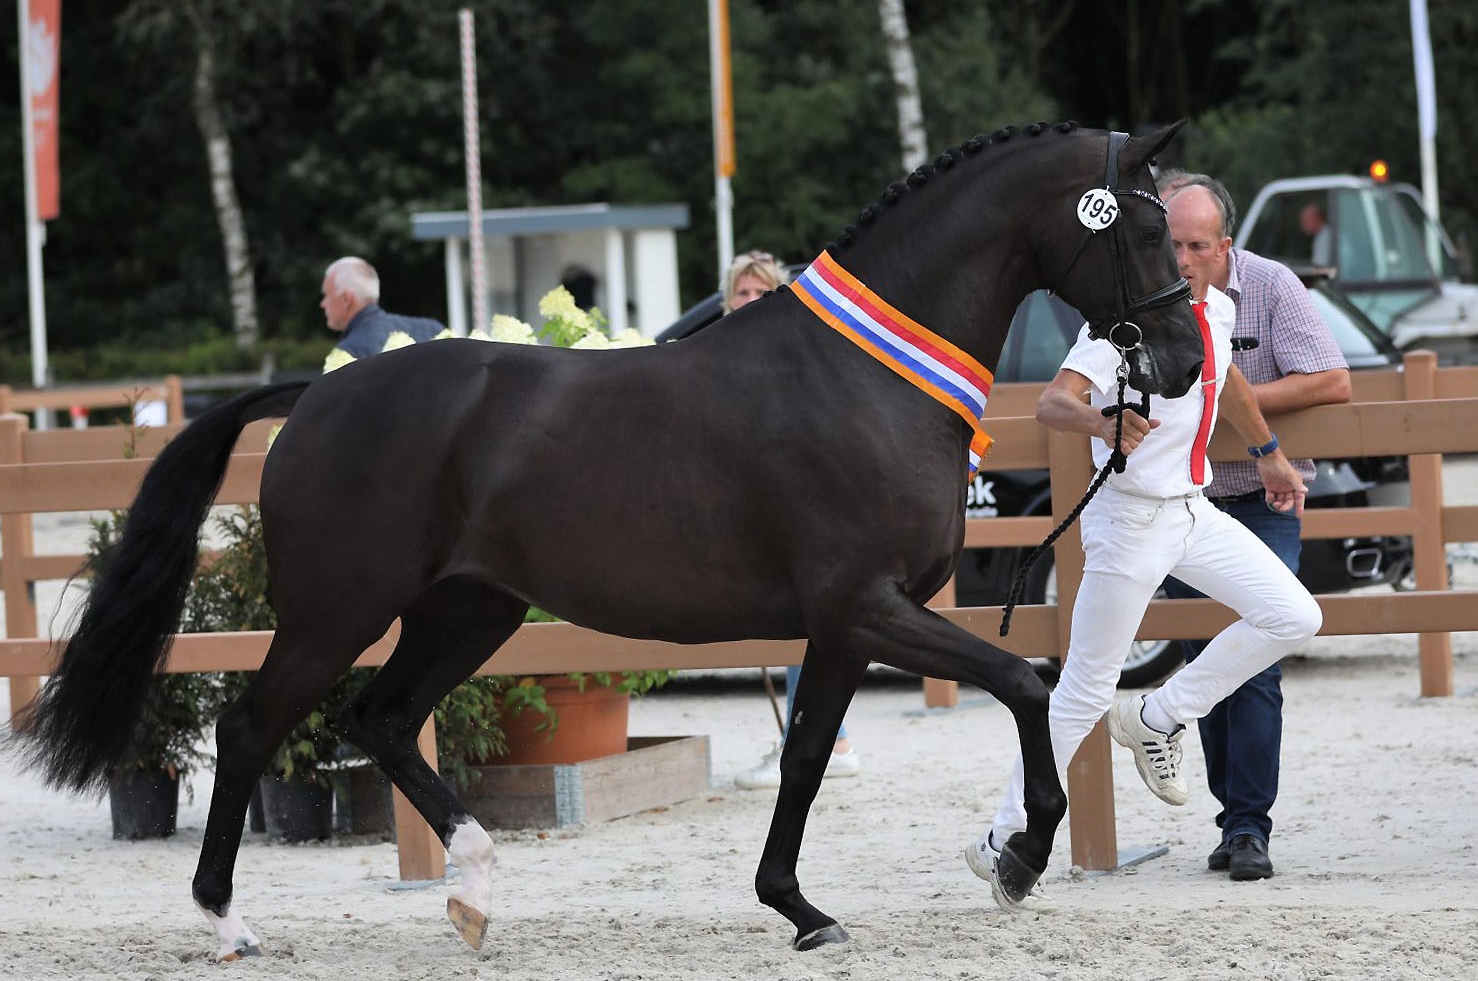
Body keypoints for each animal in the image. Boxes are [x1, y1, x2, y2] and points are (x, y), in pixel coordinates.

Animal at [20, 120, 1200, 957]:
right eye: (1143, 230)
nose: (1186, 360)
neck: (861, 378)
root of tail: (316, 395)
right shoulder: (867, 606)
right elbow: (1025, 683)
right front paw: (1019, 857)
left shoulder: (843, 624)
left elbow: (808, 757)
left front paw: (799, 908)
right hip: (335, 610)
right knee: (254, 727)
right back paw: (228, 922)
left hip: (469, 610)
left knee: (382, 717)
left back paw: (475, 894)